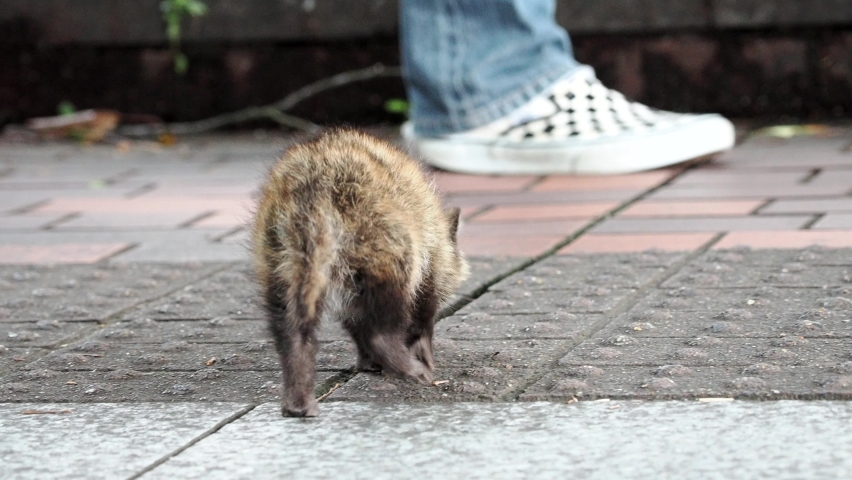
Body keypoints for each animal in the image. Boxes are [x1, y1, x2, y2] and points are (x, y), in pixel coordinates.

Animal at [252, 129, 469, 417]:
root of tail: (315, 186)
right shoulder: (429, 256)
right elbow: (423, 305)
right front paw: (421, 346)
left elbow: (354, 317)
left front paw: (368, 358)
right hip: (380, 234)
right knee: (391, 298)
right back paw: (398, 356)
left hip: (279, 250)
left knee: (288, 317)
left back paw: (297, 391)